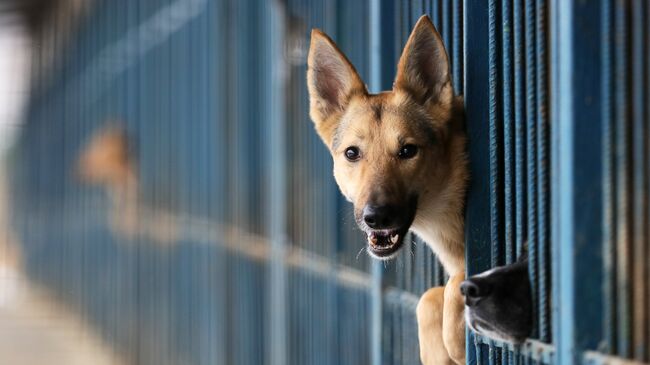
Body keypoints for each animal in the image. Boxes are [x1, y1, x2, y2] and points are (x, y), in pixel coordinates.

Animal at [308, 14, 466, 364]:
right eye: (352, 153)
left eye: (408, 150)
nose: (376, 217)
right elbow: (429, 299)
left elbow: (456, 283)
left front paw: (457, 339)